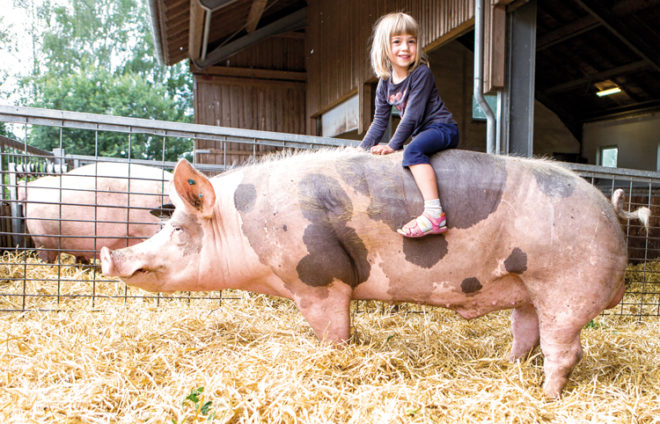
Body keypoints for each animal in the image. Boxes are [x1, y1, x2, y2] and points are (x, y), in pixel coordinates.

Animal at [100, 149, 648, 398]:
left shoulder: (320, 280)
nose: (110, 256)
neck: (242, 225)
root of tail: (611, 212)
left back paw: (547, 397)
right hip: (528, 288)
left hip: (565, 286)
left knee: (565, 349)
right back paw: (505, 369)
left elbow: (334, 332)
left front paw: (336, 358)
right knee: (526, 334)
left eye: (177, 229)